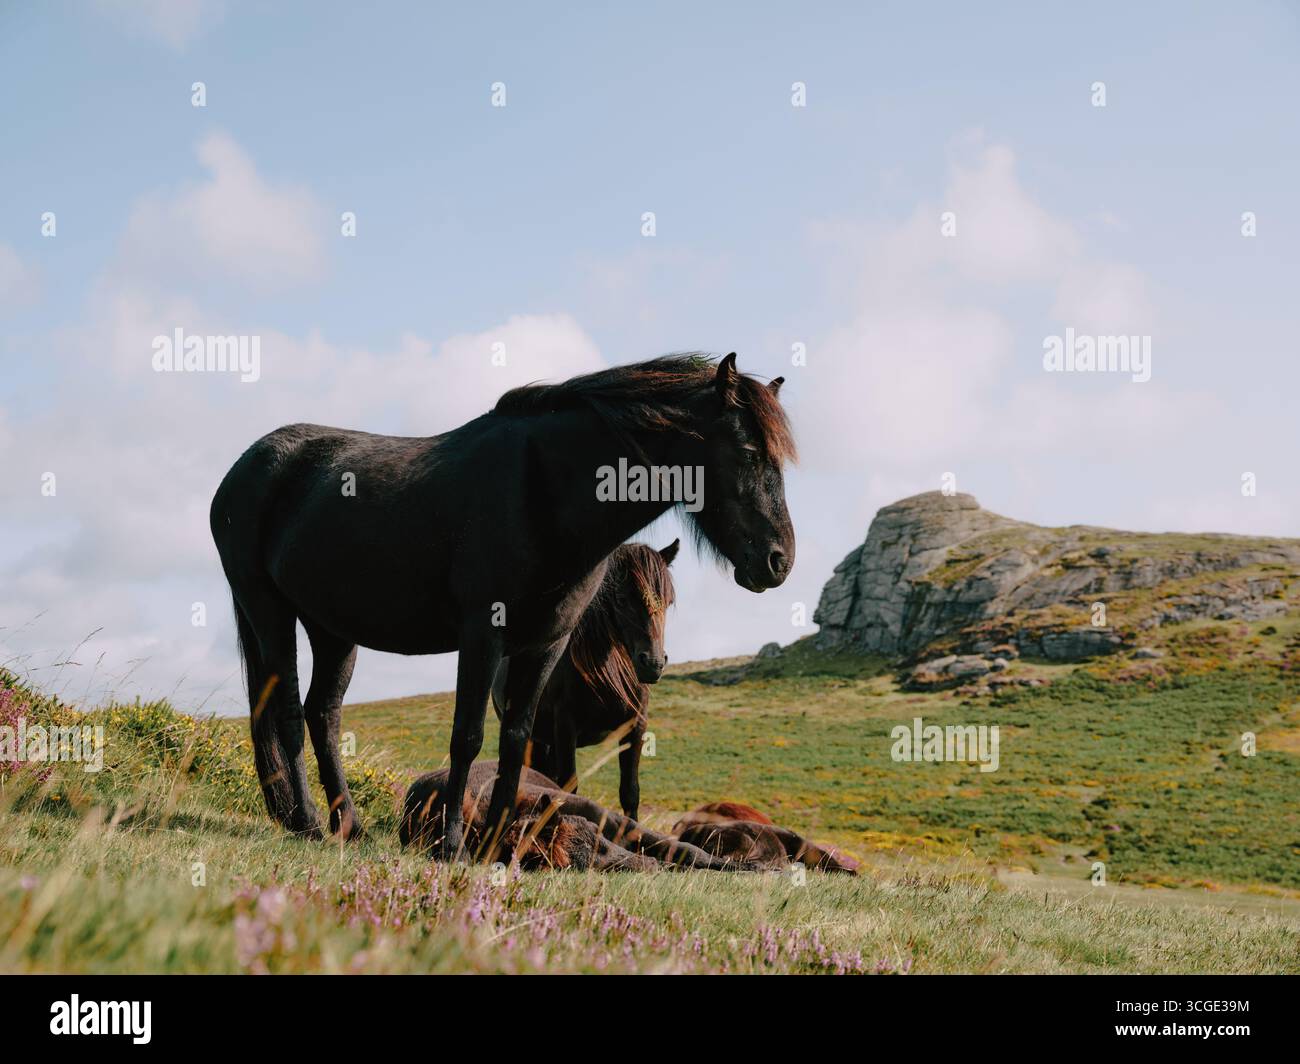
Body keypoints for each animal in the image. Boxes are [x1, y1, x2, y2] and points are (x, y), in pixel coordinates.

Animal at [491, 539, 678, 820]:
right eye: (622, 599)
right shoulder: (565, 726)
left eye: (667, 601)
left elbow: (630, 791)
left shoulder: (636, 726)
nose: (654, 664)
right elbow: (569, 786)